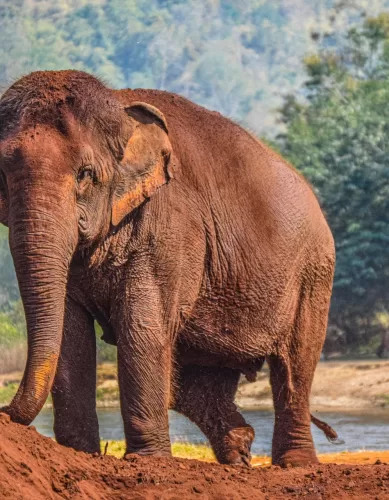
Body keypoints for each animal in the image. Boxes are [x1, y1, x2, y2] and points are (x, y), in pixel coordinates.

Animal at [0, 71, 334, 468]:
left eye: (85, 174)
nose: (3, 411)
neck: (118, 106)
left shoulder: (171, 228)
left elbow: (142, 327)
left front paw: (147, 461)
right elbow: (71, 332)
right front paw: (78, 453)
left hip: (313, 272)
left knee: (294, 363)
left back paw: (295, 463)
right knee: (194, 380)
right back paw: (239, 452)